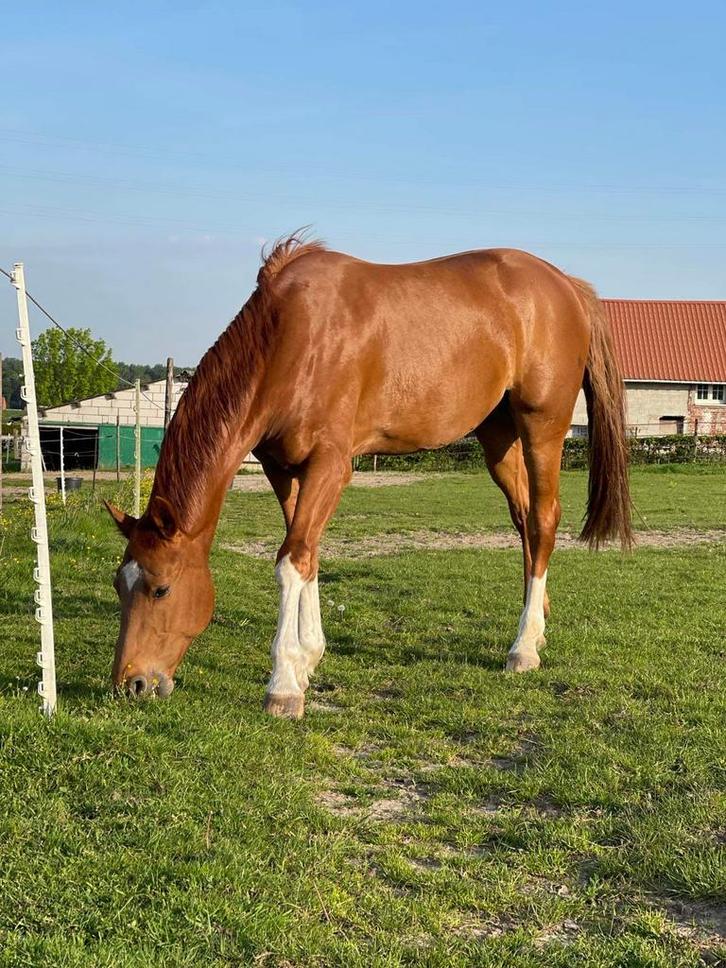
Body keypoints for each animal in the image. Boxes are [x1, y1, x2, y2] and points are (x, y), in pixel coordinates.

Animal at [105, 235, 631, 717]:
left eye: (161, 588)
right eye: (118, 585)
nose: (130, 684)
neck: (292, 338)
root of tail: (567, 285)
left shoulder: (330, 465)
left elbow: (292, 558)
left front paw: (284, 685)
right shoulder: (281, 467)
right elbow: (308, 554)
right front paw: (309, 658)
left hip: (543, 426)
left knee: (543, 520)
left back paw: (522, 648)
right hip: (498, 436)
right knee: (524, 522)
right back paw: (536, 625)